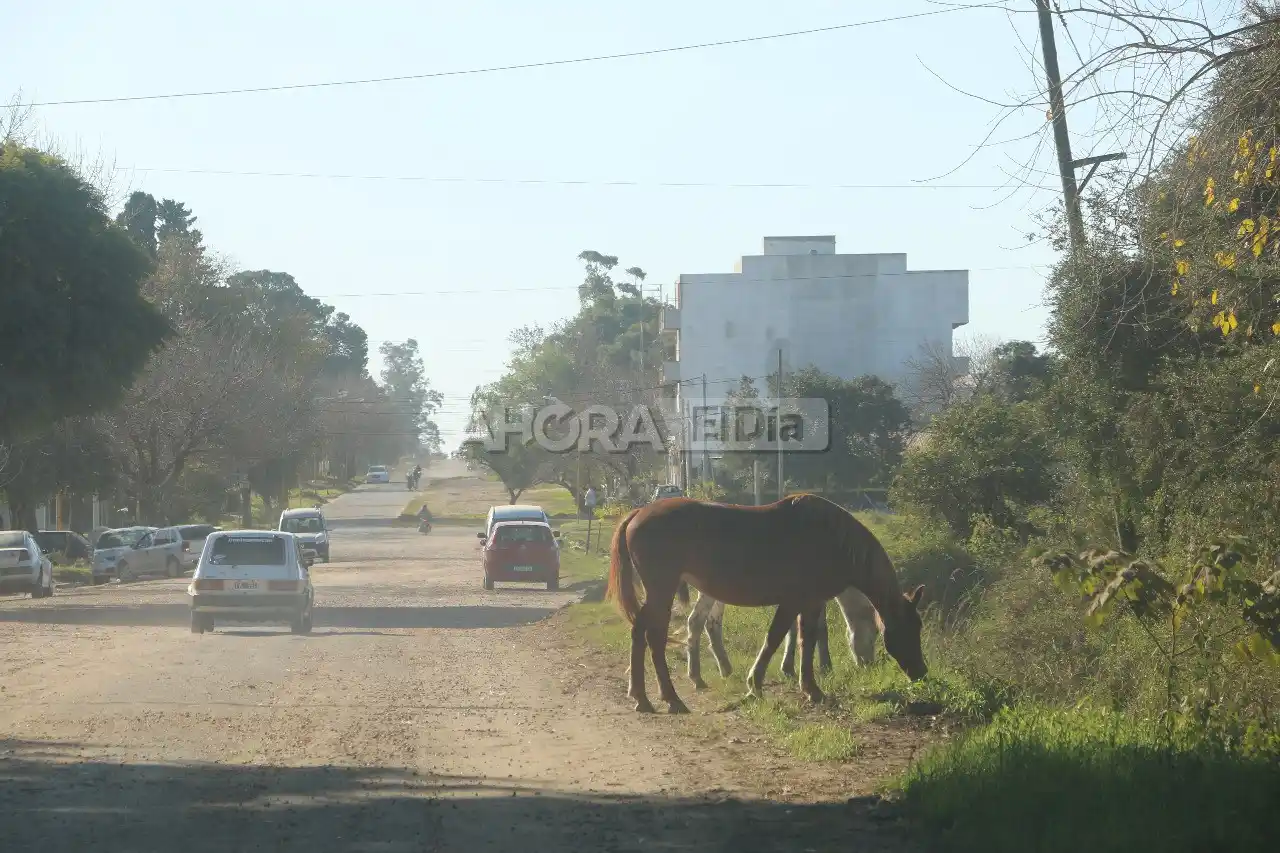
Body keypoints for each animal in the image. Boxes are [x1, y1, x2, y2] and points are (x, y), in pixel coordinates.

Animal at [681, 583, 880, 690]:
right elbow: (820, 628)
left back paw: (725, 669)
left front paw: (788, 668)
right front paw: (826, 667)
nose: (870, 666)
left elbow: (792, 628)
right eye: (874, 634)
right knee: (695, 620)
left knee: (711, 622)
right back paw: (696, 677)